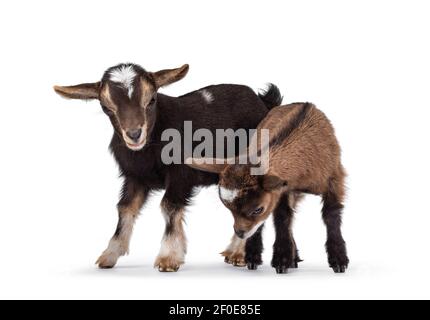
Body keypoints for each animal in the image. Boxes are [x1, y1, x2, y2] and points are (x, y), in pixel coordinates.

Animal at [53, 63, 282, 272]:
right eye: (106, 107)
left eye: (151, 100)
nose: (134, 135)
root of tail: (264, 102)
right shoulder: (135, 177)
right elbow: (125, 208)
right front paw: (110, 254)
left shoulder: (181, 174)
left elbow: (169, 205)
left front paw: (168, 257)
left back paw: (238, 254)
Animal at [188, 104, 350, 274]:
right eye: (229, 209)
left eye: (258, 209)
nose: (240, 233)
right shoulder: (282, 190)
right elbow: (282, 217)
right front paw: (281, 259)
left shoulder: (335, 178)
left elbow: (331, 214)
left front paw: (339, 260)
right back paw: (260, 258)